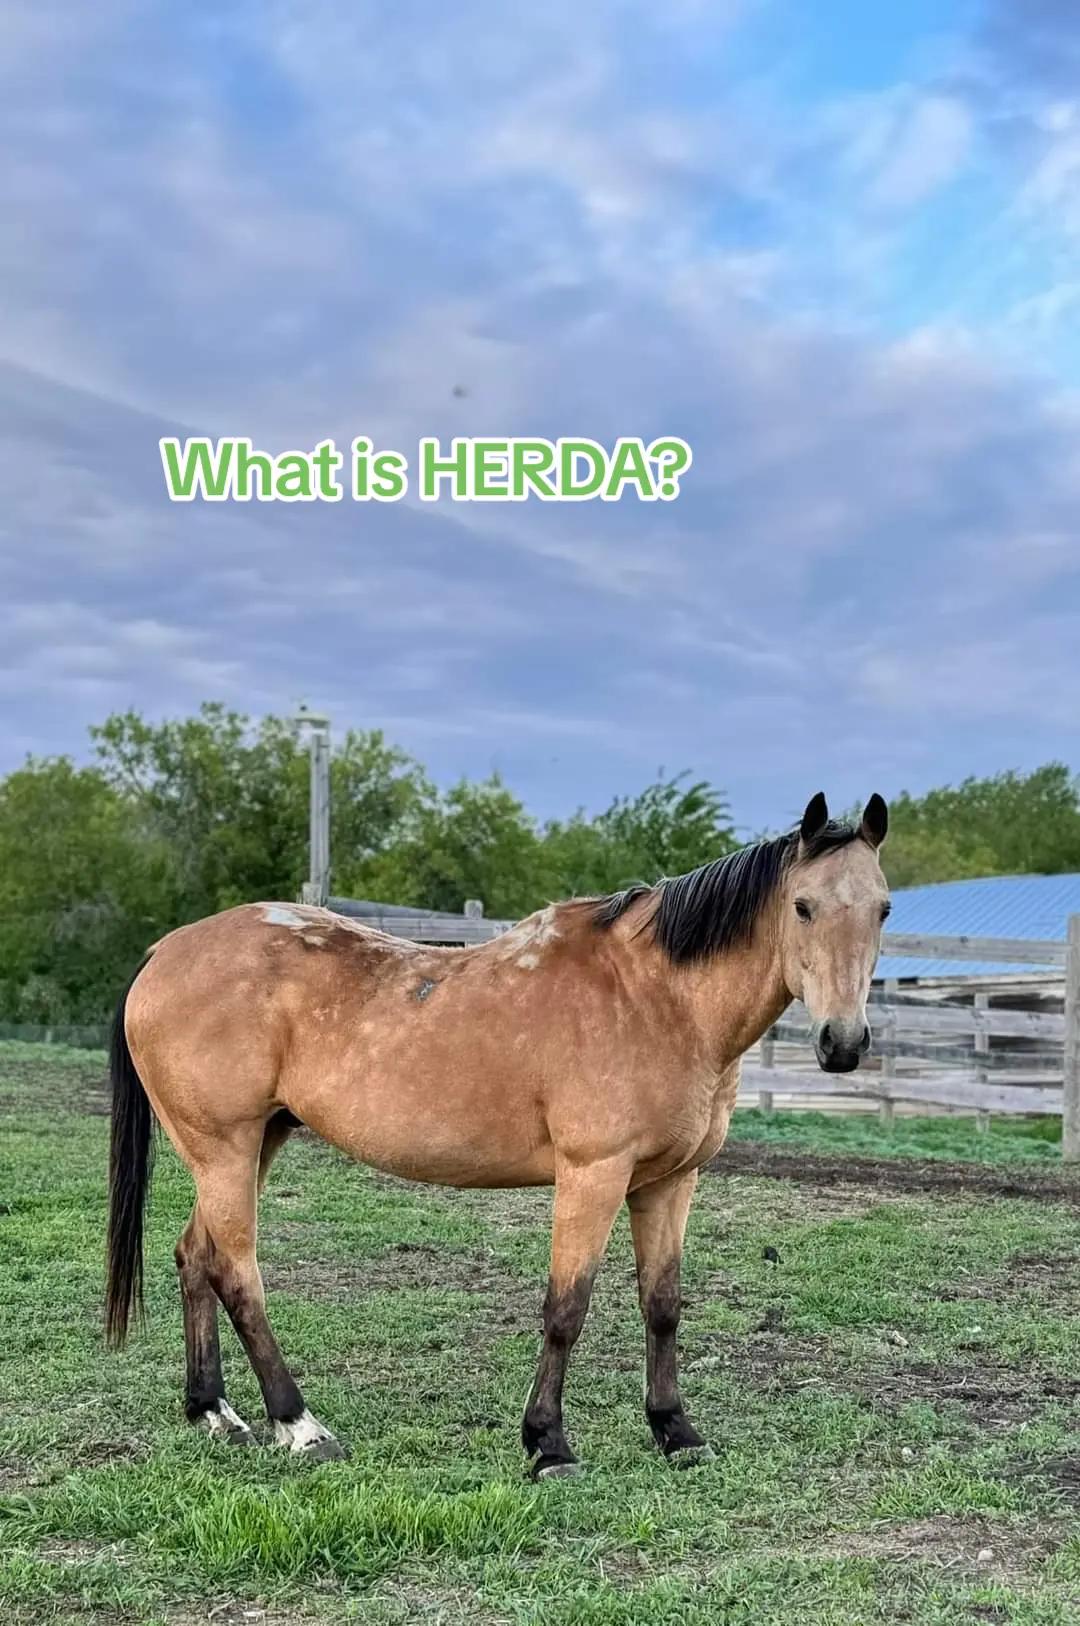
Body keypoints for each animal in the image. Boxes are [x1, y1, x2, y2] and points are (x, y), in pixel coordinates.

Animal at [105, 790, 889, 1475]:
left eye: (883, 909)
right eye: (803, 906)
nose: (843, 1043)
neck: (657, 997)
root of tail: (162, 952)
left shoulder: (670, 1181)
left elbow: (662, 1305)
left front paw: (676, 1432)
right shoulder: (593, 1173)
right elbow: (566, 1308)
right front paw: (548, 1444)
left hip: (250, 1145)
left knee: (195, 1256)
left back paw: (213, 1411)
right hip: (225, 1149)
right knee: (238, 1274)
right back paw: (299, 1425)